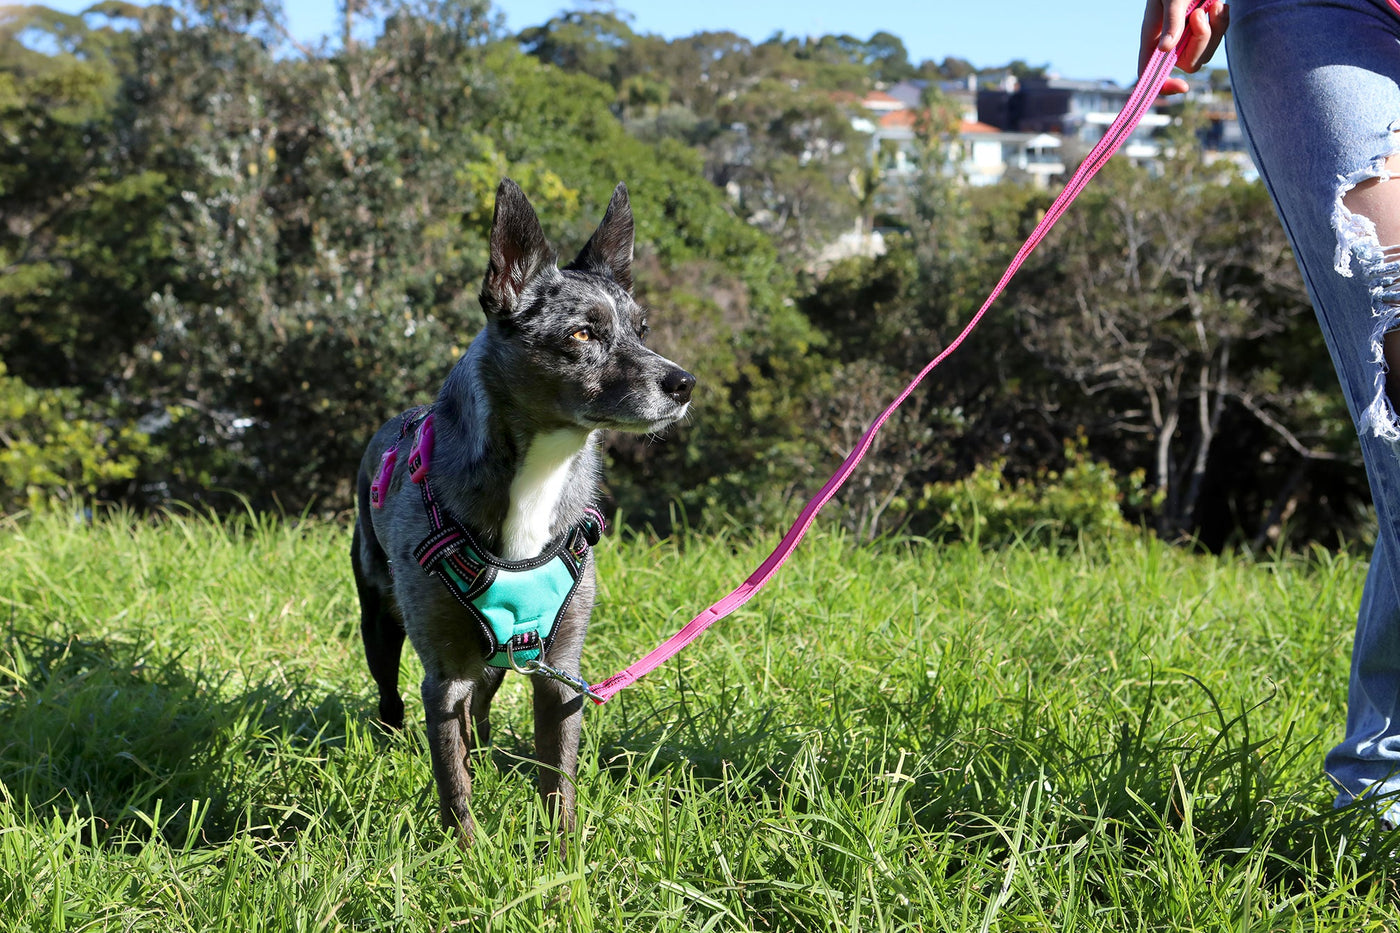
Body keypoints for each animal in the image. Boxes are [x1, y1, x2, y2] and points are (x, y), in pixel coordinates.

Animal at [352, 177, 697, 840]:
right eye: (583, 334)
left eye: (642, 329)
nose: (683, 382)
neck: (539, 472)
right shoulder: (444, 675)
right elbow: (452, 782)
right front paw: (467, 852)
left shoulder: (560, 675)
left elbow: (557, 780)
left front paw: (562, 858)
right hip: (379, 620)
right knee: (393, 699)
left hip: (501, 655)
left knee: (480, 711)